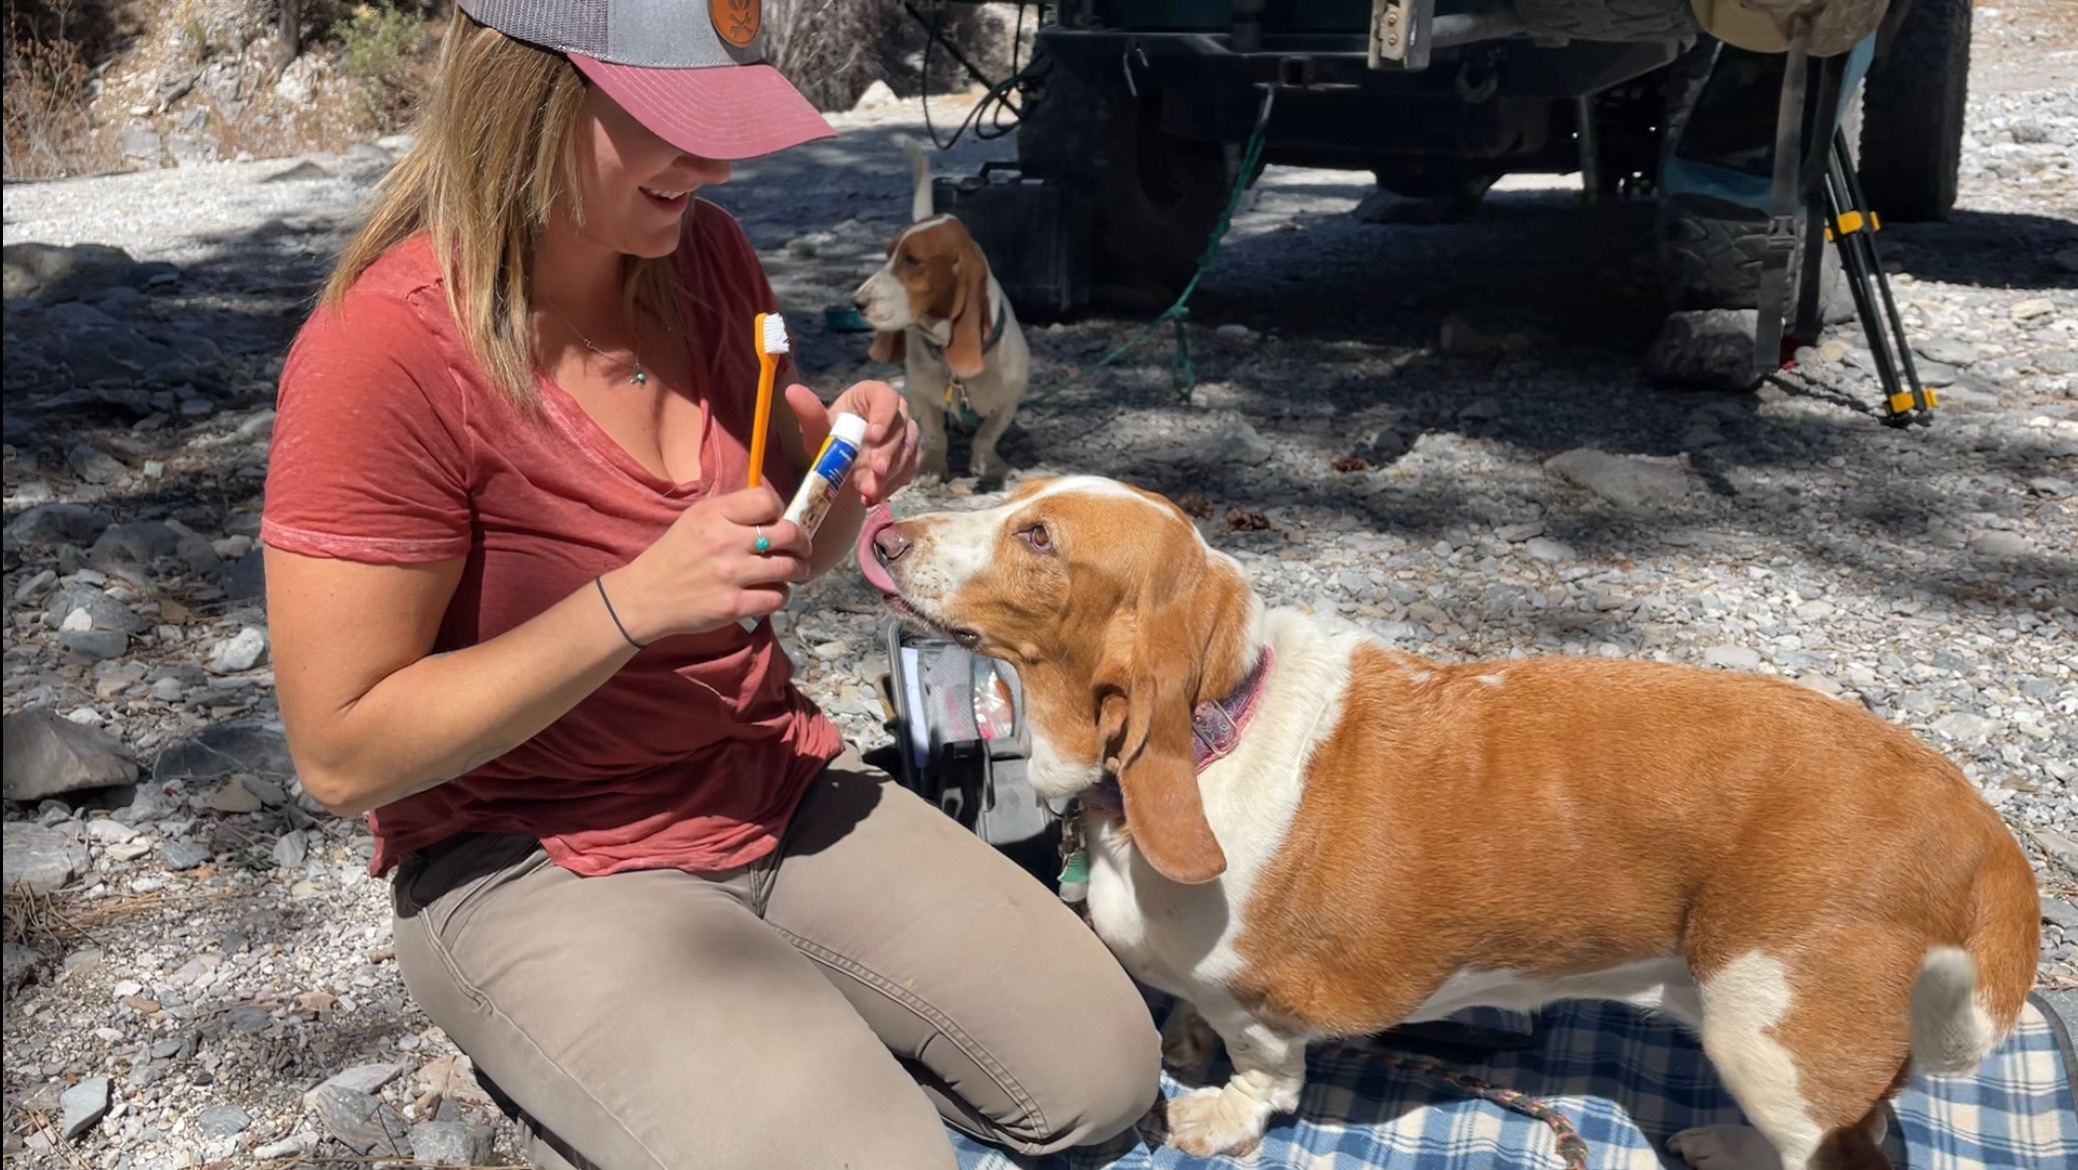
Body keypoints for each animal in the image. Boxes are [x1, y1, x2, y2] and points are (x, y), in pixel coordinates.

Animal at [851, 135, 1030, 482]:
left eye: (912, 260)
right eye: (888, 256)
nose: (858, 302)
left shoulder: (1010, 398)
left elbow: (988, 434)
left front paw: (990, 464)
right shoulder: (920, 394)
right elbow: (935, 433)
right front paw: (932, 466)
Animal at [851, 477, 2036, 1170]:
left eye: (1037, 536)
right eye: (1013, 493)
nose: (883, 532)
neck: (1221, 727)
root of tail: (1973, 822)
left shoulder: (1266, 1011)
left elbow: (1267, 1070)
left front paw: (1217, 1113)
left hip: (1767, 1037)